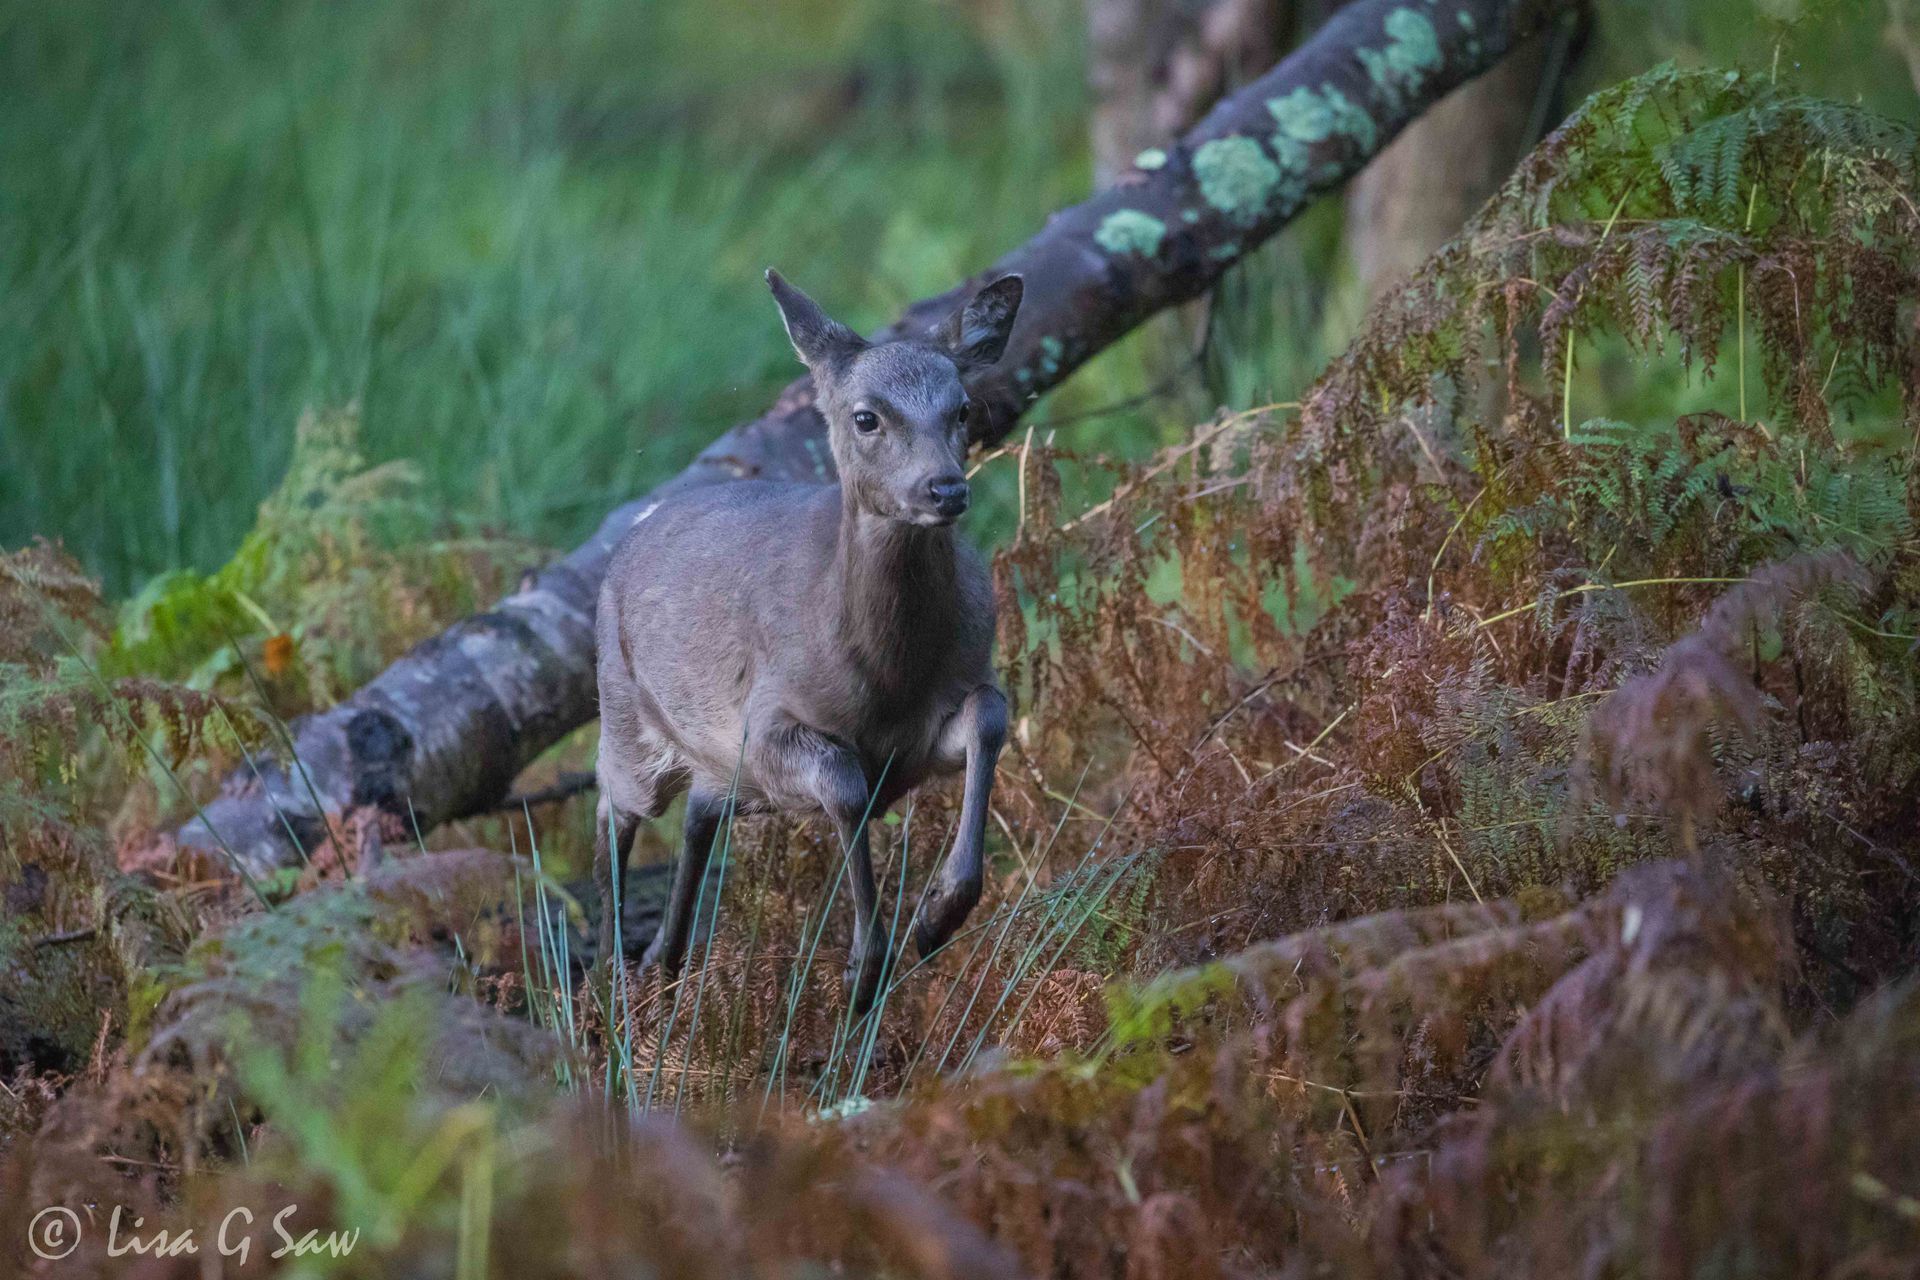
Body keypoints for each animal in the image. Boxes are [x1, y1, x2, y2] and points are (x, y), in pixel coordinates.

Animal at [591, 268, 1023, 1014]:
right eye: (866, 416)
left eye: (964, 409)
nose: (945, 489)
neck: (887, 679)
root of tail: (638, 525)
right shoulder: (765, 723)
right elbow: (846, 787)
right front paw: (864, 971)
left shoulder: (931, 724)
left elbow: (991, 715)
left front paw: (938, 916)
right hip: (624, 713)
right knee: (614, 806)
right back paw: (620, 977)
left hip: (720, 768)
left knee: (698, 815)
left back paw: (662, 963)